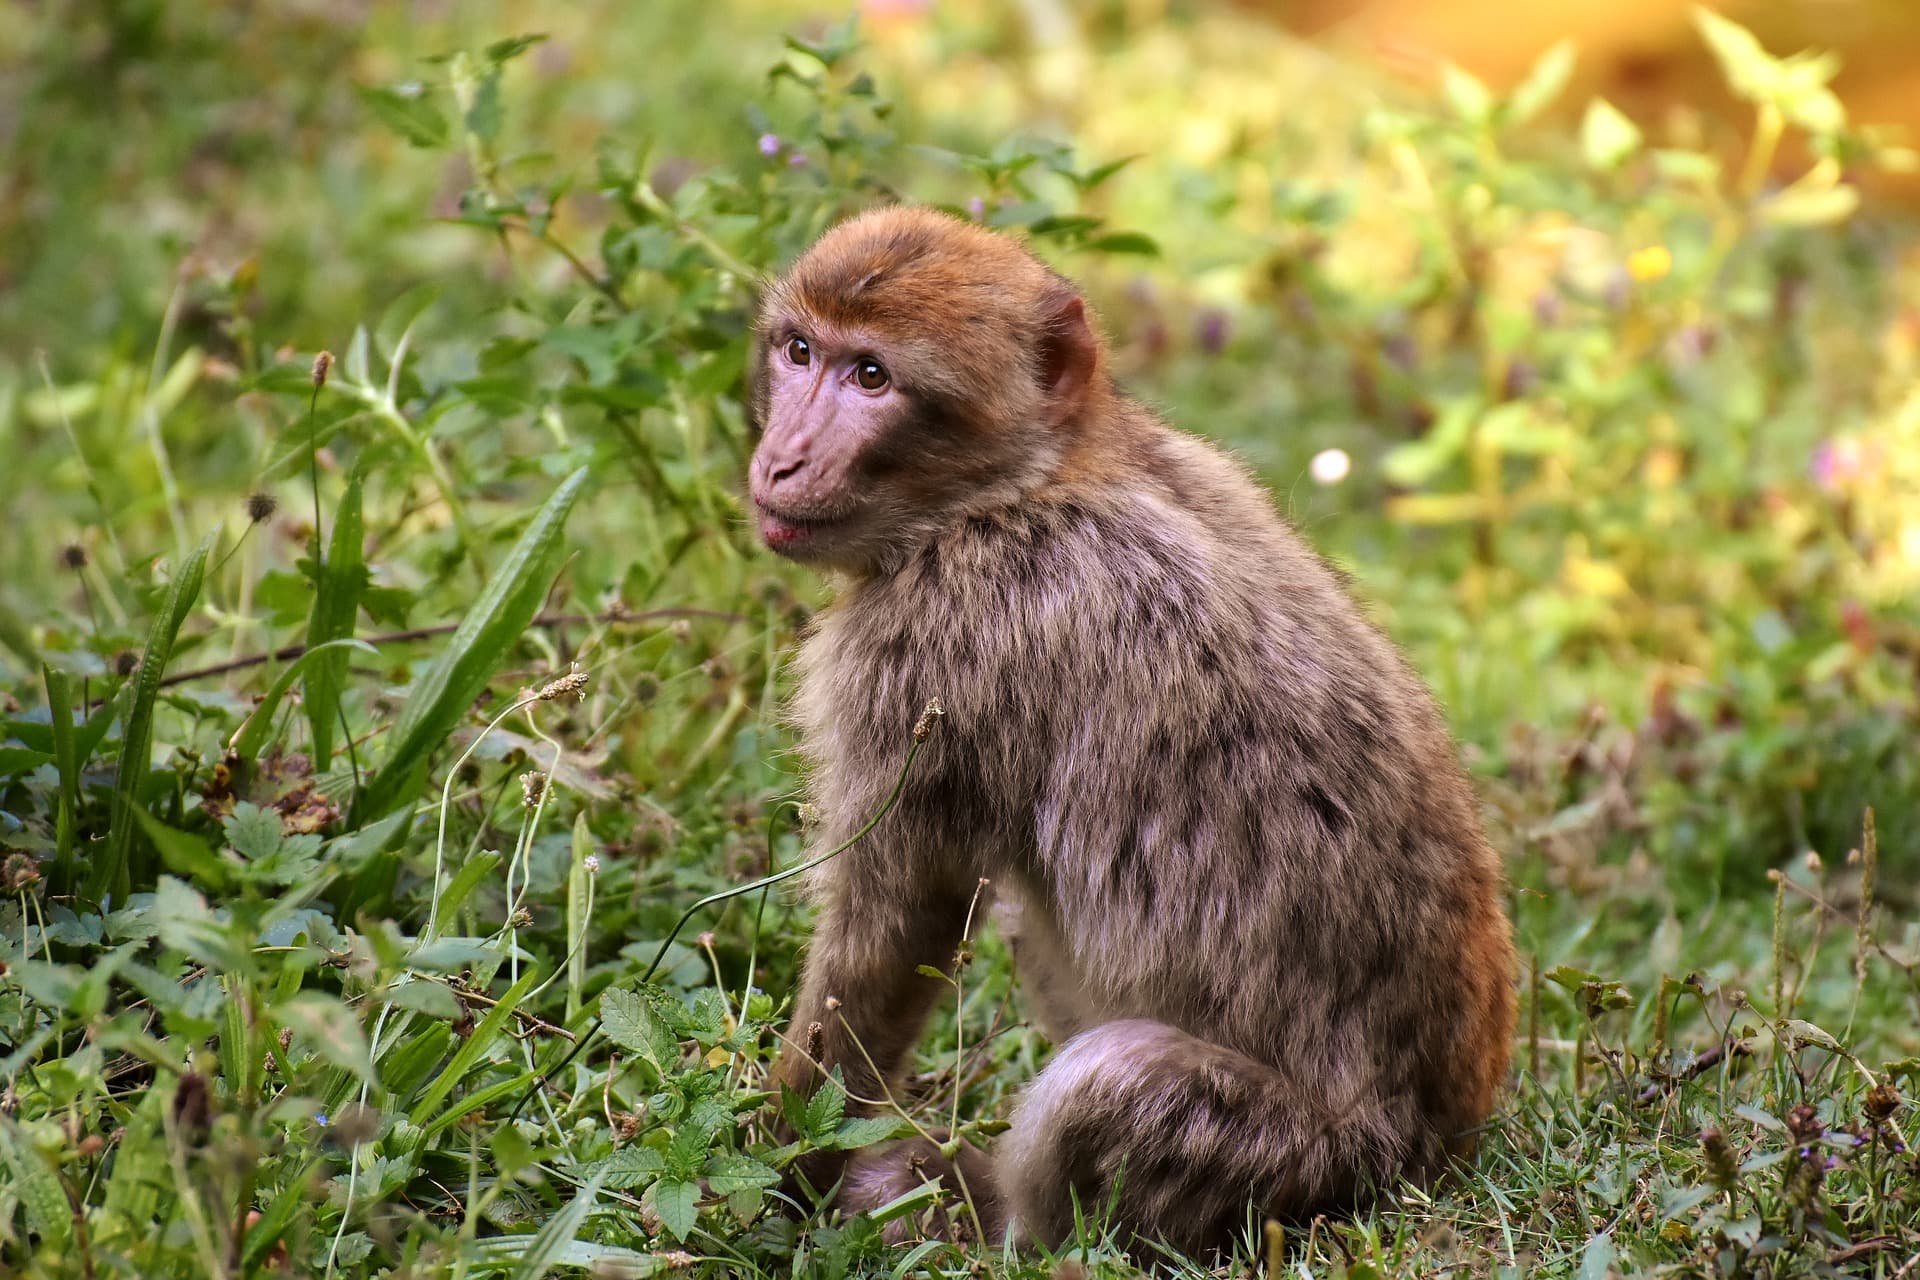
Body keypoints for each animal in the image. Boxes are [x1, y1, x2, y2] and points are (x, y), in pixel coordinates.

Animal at [745, 205, 1514, 1255]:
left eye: (872, 377)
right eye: (799, 351)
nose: (781, 458)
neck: (1024, 484)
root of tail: (1435, 1144)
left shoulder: (937, 643)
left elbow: (895, 920)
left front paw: (780, 1174)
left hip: (1289, 1160)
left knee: (1110, 1083)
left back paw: (980, 1213)